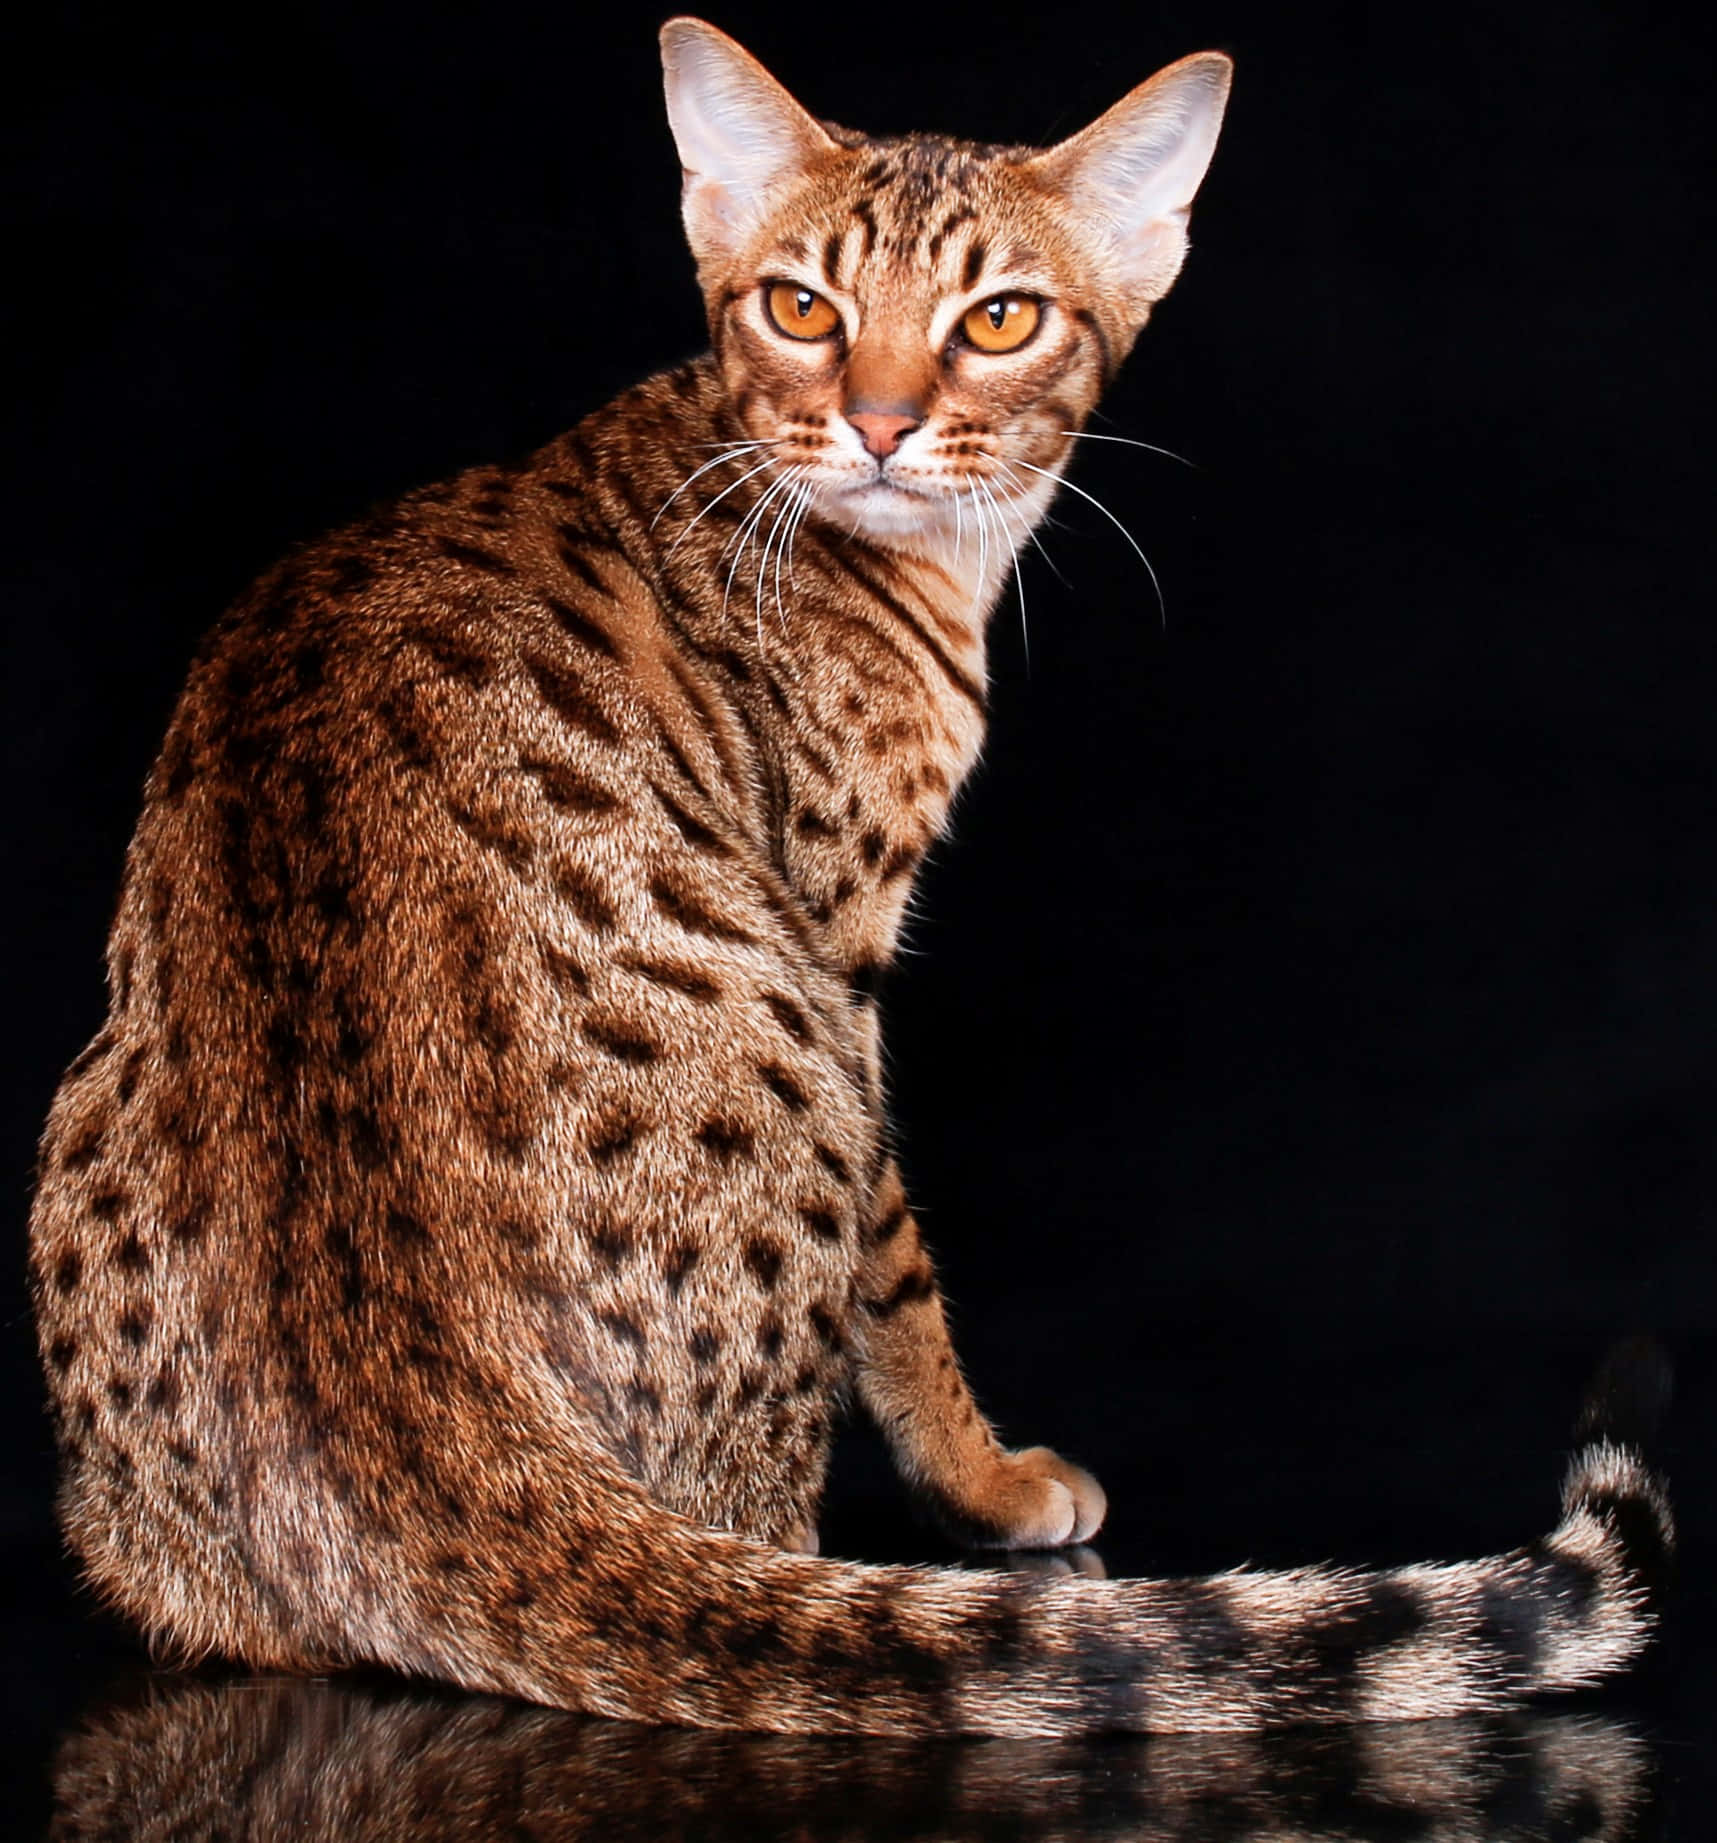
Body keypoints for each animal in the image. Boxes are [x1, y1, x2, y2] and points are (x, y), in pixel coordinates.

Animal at [23, 14, 1665, 1732]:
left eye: (998, 319)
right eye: (802, 307)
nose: (878, 420)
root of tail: (432, 1441)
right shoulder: (843, 941)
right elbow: (901, 1264)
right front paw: (988, 1478)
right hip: (785, 1043)